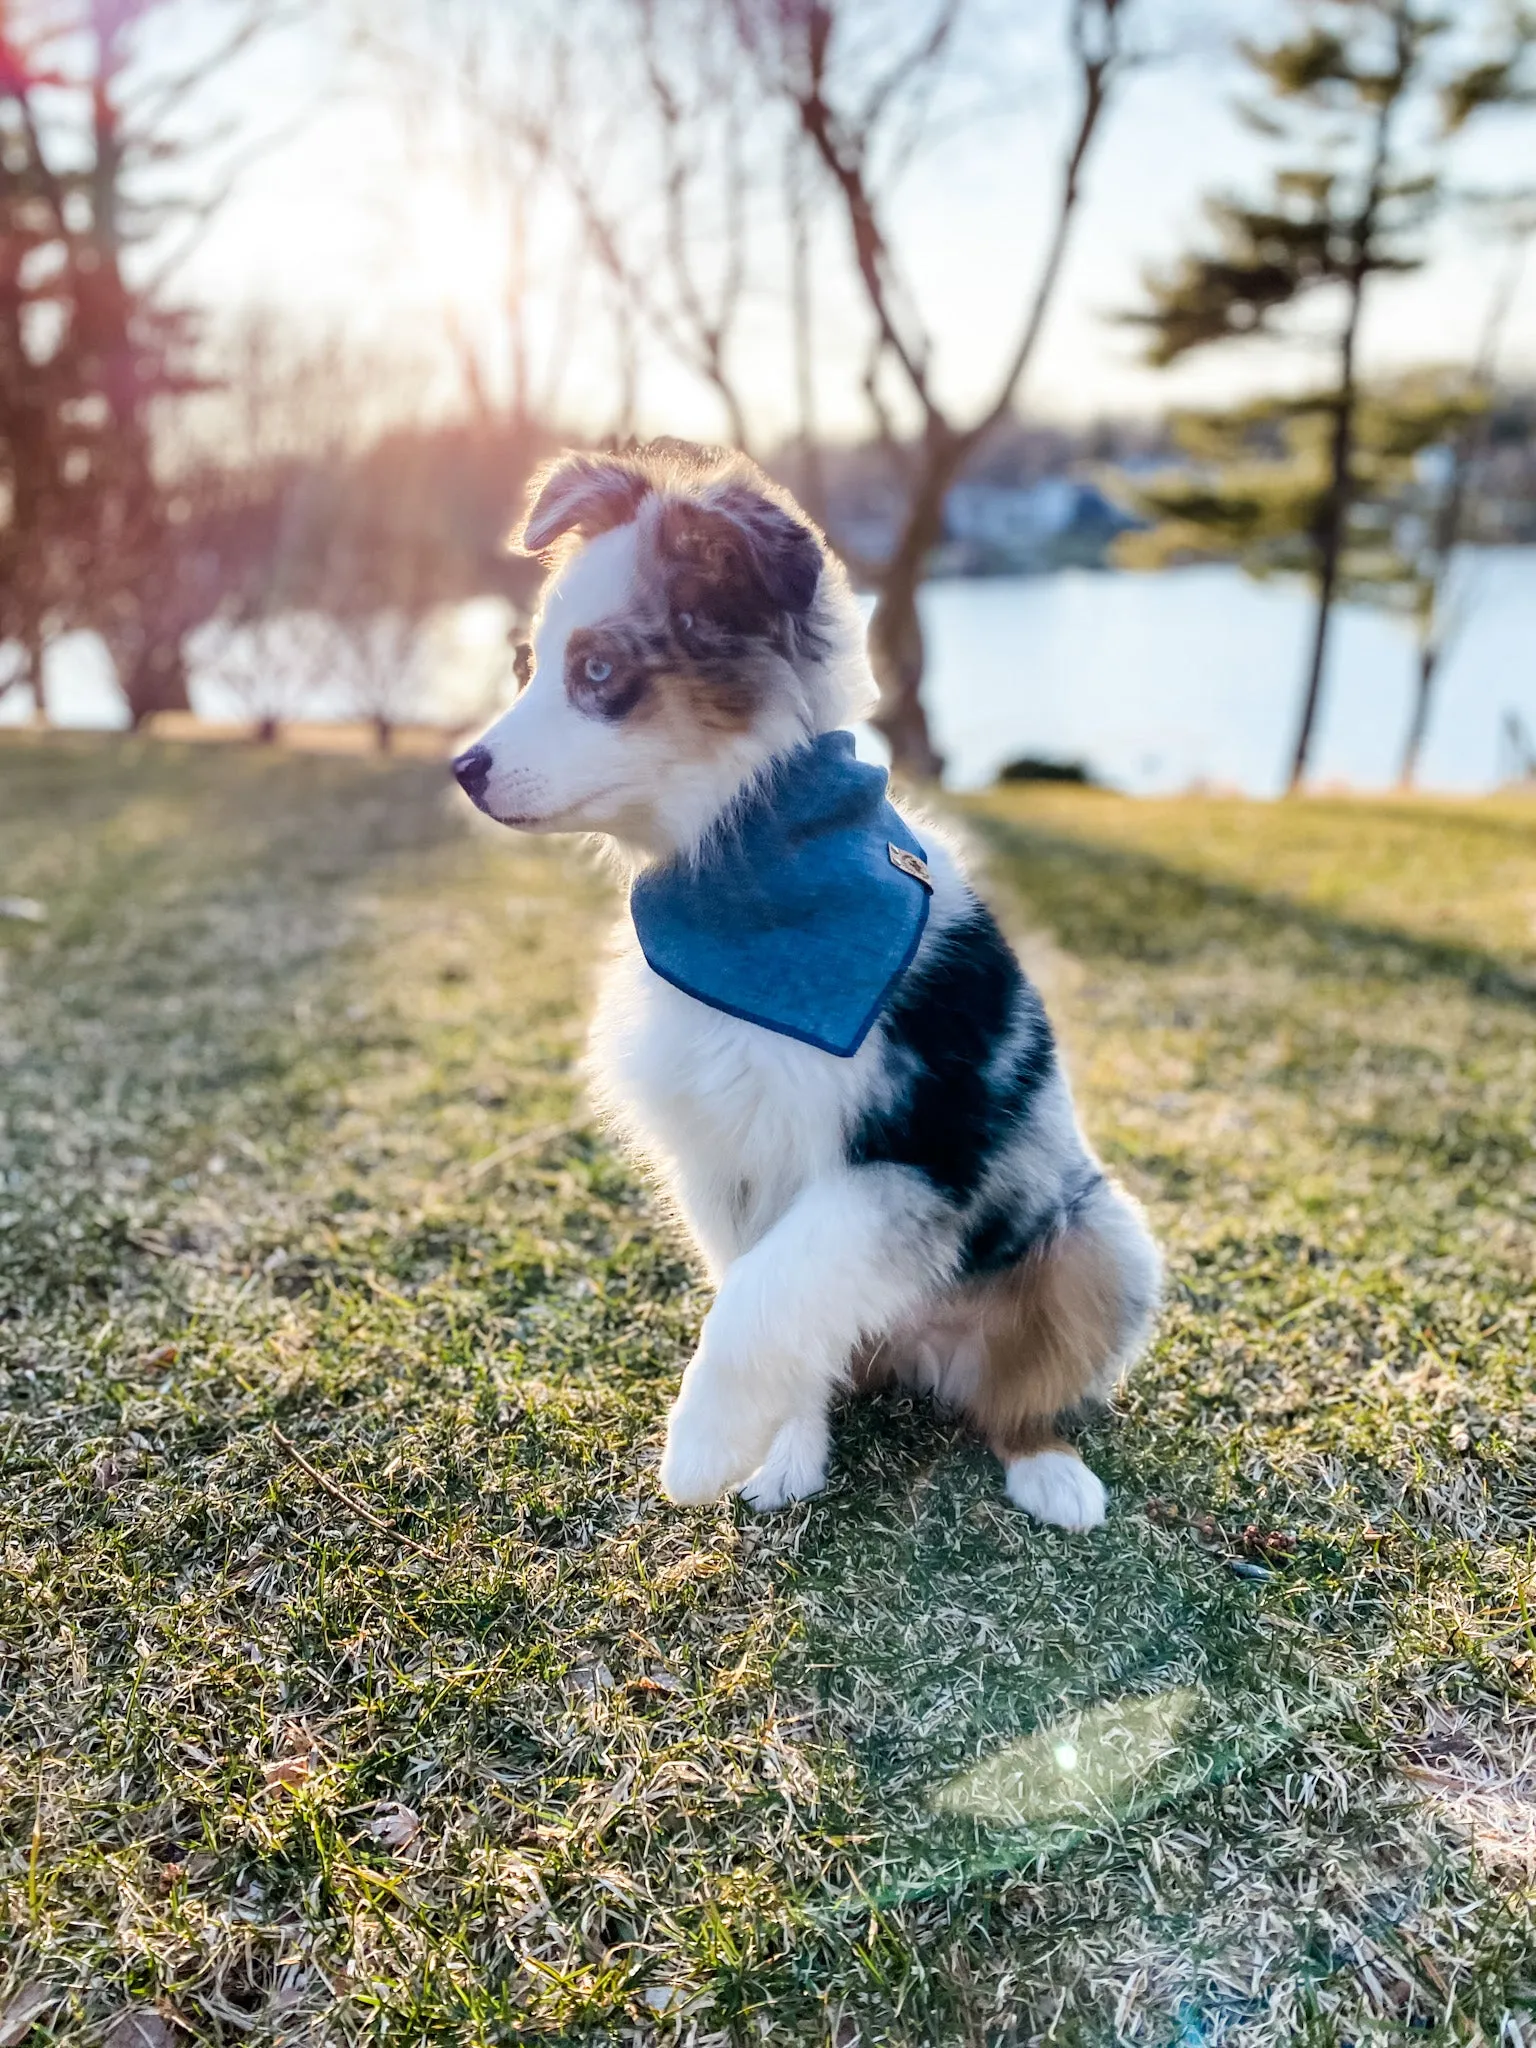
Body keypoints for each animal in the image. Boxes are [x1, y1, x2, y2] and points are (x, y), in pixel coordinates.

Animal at [450, 440, 1163, 1531]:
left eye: (598, 671)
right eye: (531, 665)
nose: (464, 767)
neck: (748, 876)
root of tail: (925, 1356)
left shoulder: (913, 1150)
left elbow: (767, 1293)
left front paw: (699, 1446)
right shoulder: (723, 1156)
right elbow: (765, 1292)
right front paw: (776, 1453)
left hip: (1095, 1237)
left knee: (1022, 1390)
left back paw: (1050, 1470)